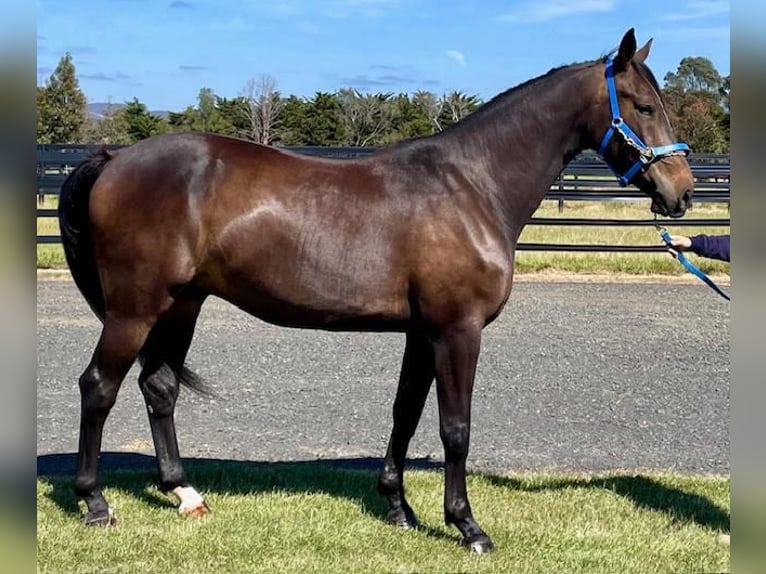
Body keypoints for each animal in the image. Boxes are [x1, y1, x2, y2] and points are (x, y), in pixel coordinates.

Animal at [58, 29, 693, 553]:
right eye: (642, 105)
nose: (681, 192)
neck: (471, 185)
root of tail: (114, 157)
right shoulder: (456, 330)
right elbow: (455, 428)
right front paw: (467, 526)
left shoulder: (422, 332)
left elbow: (405, 412)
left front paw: (399, 507)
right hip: (134, 309)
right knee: (99, 387)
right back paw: (94, 502)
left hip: (181, 304)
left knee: (159, 388)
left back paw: (184, 493)